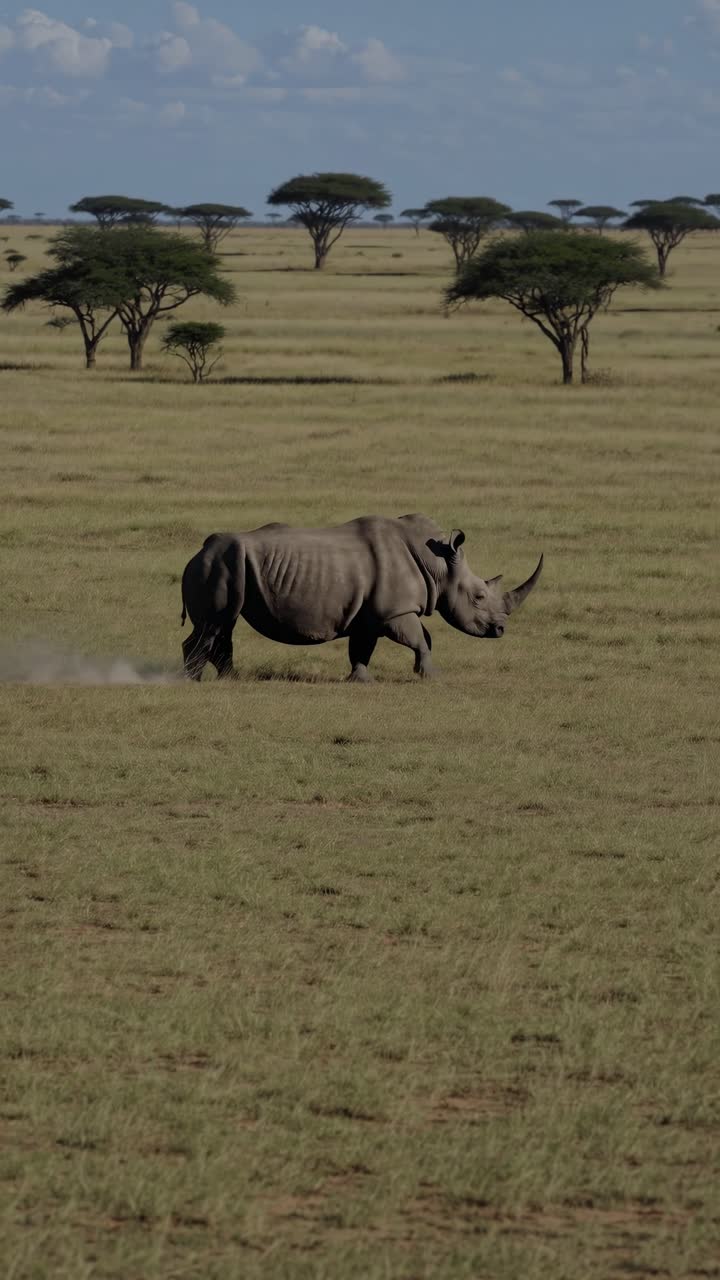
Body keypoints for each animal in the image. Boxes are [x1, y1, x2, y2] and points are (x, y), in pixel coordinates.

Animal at [180, 514, 542, 682]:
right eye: (479, 596)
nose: (500, 630)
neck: (439, 565)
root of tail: (197, 551)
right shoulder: (395, 612)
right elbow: (420, 638)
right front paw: (431, 676)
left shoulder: (371, 614)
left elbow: (363, 646)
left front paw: (361, 679)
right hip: (220, 565)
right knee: (215, 625)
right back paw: (194, 680)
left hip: (226, 566)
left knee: (223, 625)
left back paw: (228, 679)